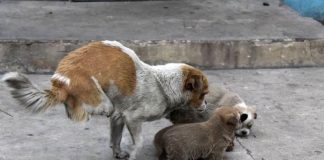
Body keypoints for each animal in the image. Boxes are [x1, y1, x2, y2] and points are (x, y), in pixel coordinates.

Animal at [1, 40, 209, 159]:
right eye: (204, 94)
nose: (206, 104)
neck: (161, 85)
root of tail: (61, 81)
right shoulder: (132, 118)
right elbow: (139, 142)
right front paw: (132, 154)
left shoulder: (120, 117)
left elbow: (115, 138)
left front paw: (118, 153)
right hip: (99, 100)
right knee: (92, 109)